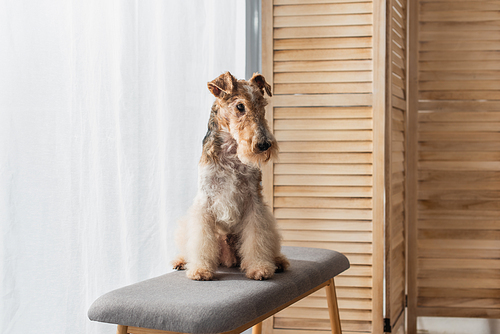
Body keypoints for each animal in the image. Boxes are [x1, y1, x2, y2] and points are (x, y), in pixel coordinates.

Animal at [172, 72, 290, 280]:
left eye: (262, 104)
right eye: (240, 106)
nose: (264, 144)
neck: (231, 151)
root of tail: (229, 259)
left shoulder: (254, 200)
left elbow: (257, 237)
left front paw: (259, 267)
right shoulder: (205, 200)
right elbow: (200, 240)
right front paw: (200, 269)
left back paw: (278, 261)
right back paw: (181, 261)